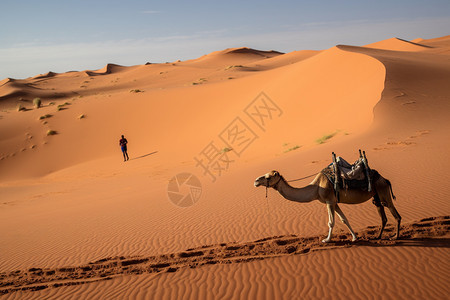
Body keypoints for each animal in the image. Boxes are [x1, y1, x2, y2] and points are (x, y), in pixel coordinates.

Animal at [253, 170, 400, 243]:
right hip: (377, 196)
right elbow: (344, 219)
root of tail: (385, 179)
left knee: (396, 215)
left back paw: (395, 237)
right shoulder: (335, 202)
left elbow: (331, 222)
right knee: (383, 217)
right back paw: (379, 237)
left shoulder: (329, 201)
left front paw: (327, 240)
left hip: (383, 191)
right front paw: (354, 237)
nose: (255, 181)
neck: (316, 188)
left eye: (268, 177)